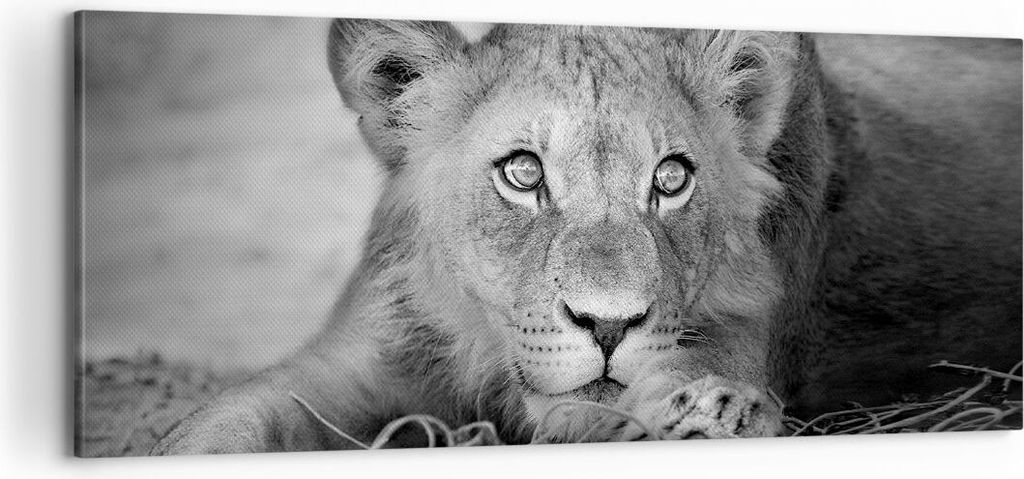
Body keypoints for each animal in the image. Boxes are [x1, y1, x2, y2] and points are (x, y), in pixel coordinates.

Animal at [152, 21, 1022, 454]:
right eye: (522, 172)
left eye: (671, 178)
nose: (608, 325)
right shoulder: (352, 359)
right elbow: (216, 427)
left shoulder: (737, 335)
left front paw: (708, 414)